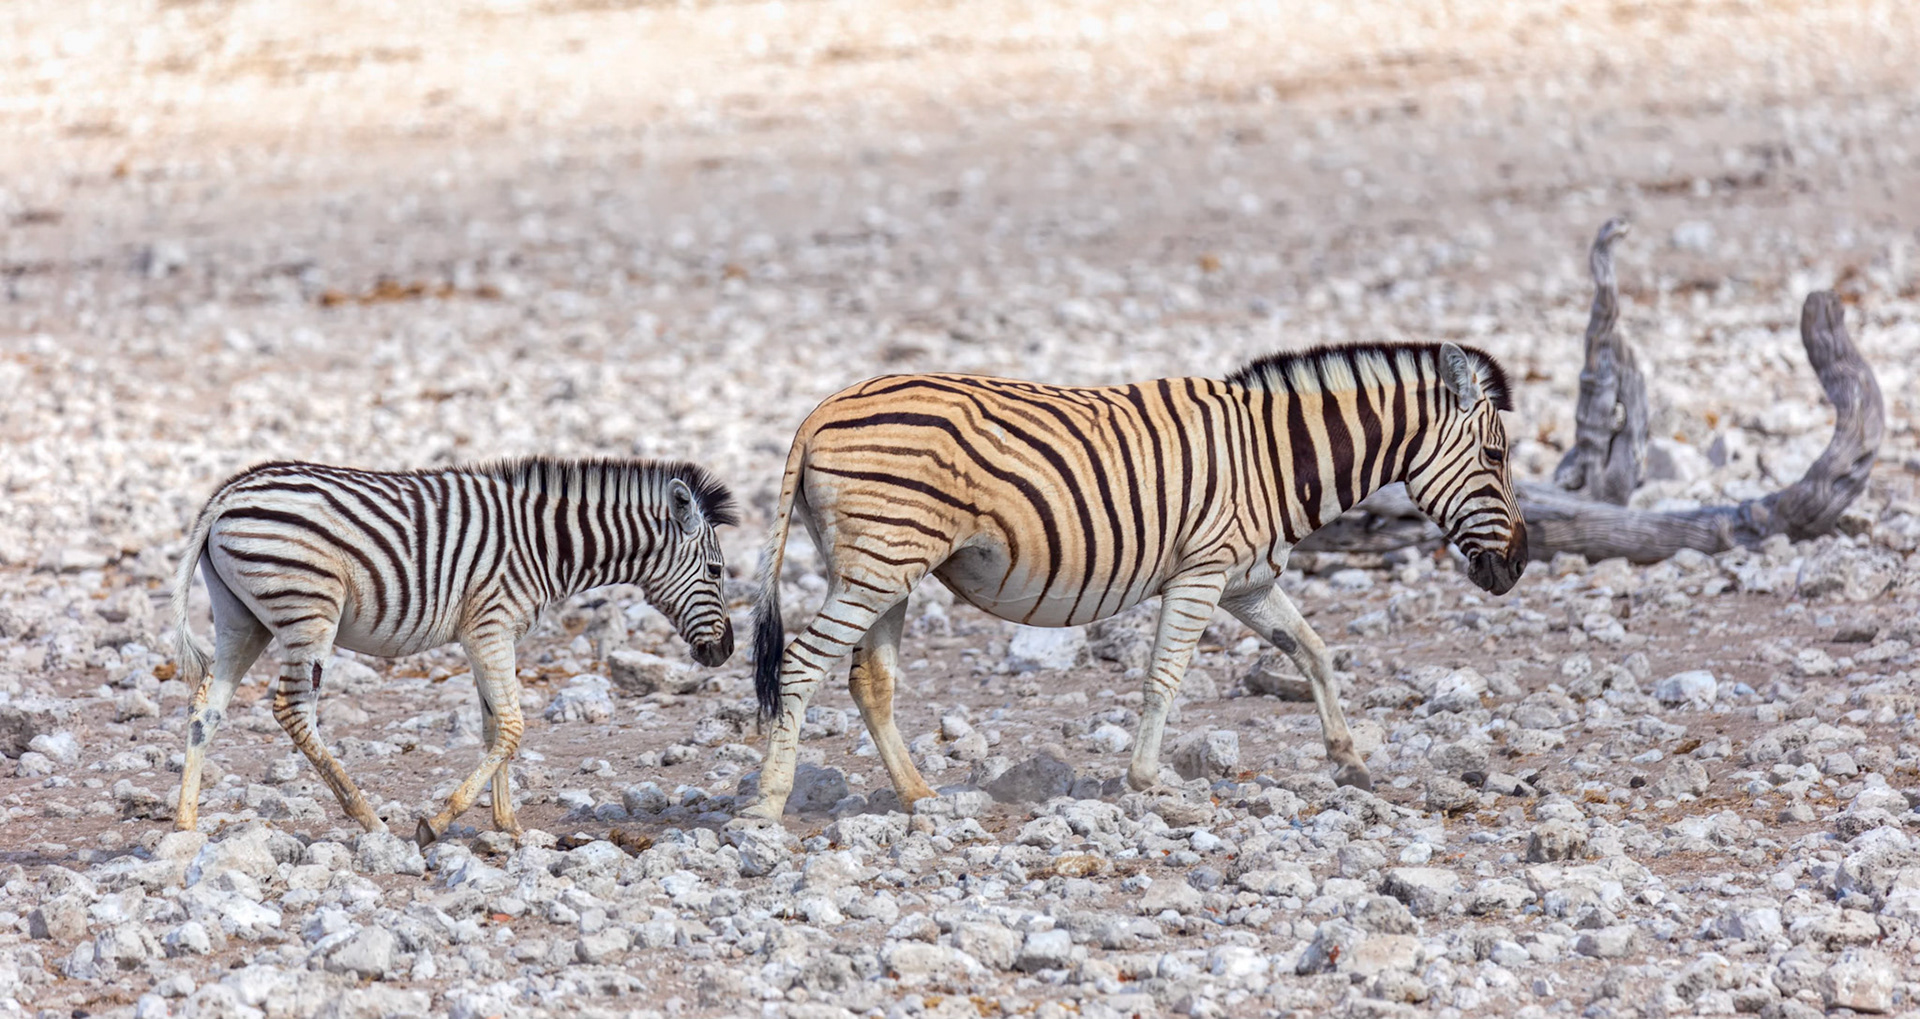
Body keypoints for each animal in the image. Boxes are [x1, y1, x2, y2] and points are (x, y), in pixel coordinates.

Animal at [168, 456, 737, 845]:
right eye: (716, 572)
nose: (727, 652)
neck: (548, 546)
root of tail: (228, 492)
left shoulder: (488, 632)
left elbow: (493, 727)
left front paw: (508, 825)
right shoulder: (492, 625)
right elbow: (512, 726)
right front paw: (439, 821)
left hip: (243, 621)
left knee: (204, 709)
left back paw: (185, 824)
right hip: (309, 612)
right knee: (292, 710)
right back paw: (368, 818)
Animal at [737, 342, 1527, 823]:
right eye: (1495, 456)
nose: (1518, 566)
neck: (1274, 457)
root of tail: (819, 411)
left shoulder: (1246, 580)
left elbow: (1313, 651)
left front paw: (1350, 761)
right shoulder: (1203, 571)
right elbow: (1164, 675)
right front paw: (1149, 781)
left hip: (885, 565)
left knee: (869, 679)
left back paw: (919, 795)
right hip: (881, 559)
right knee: (802, 663)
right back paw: (770, 801)